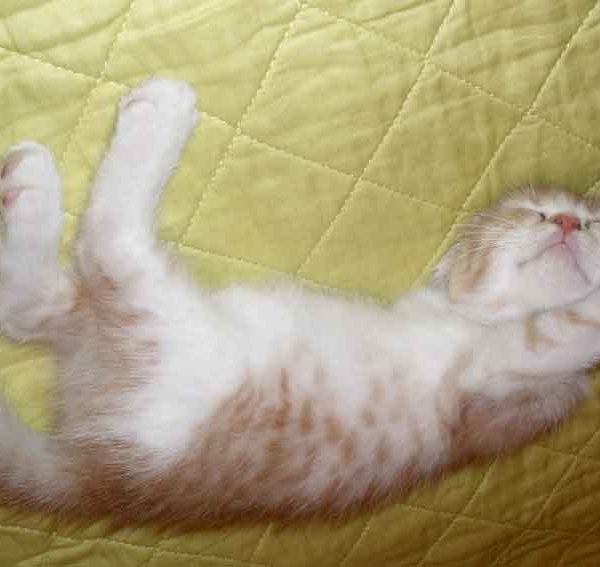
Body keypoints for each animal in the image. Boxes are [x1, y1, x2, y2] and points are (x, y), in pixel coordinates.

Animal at [0, 78, 599, 528]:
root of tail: (95, 474)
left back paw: (77, 161)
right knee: (70, 277)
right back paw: (49, 174)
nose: (568, 223)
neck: (475, 319)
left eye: (591, 222)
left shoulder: (506, 388)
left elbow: (570, 326)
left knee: (84, 265)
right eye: (531, 213)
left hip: (161, 334)